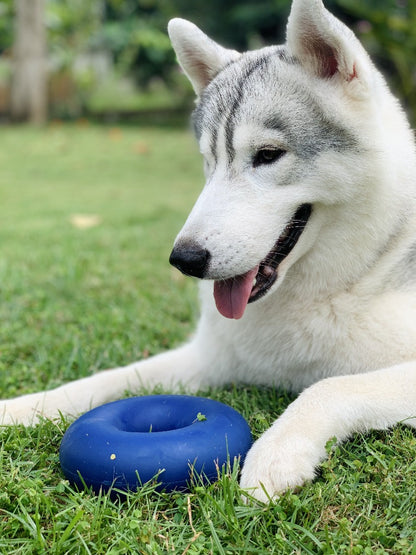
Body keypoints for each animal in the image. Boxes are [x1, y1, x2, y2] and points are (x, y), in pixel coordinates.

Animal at [0, 0, 416, 504]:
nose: (185, 260)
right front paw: (24, 407)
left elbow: (329, 387)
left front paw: (277, 451)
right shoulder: (206, 358)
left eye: (268, 154)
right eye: (208, 161)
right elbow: (106, 380)